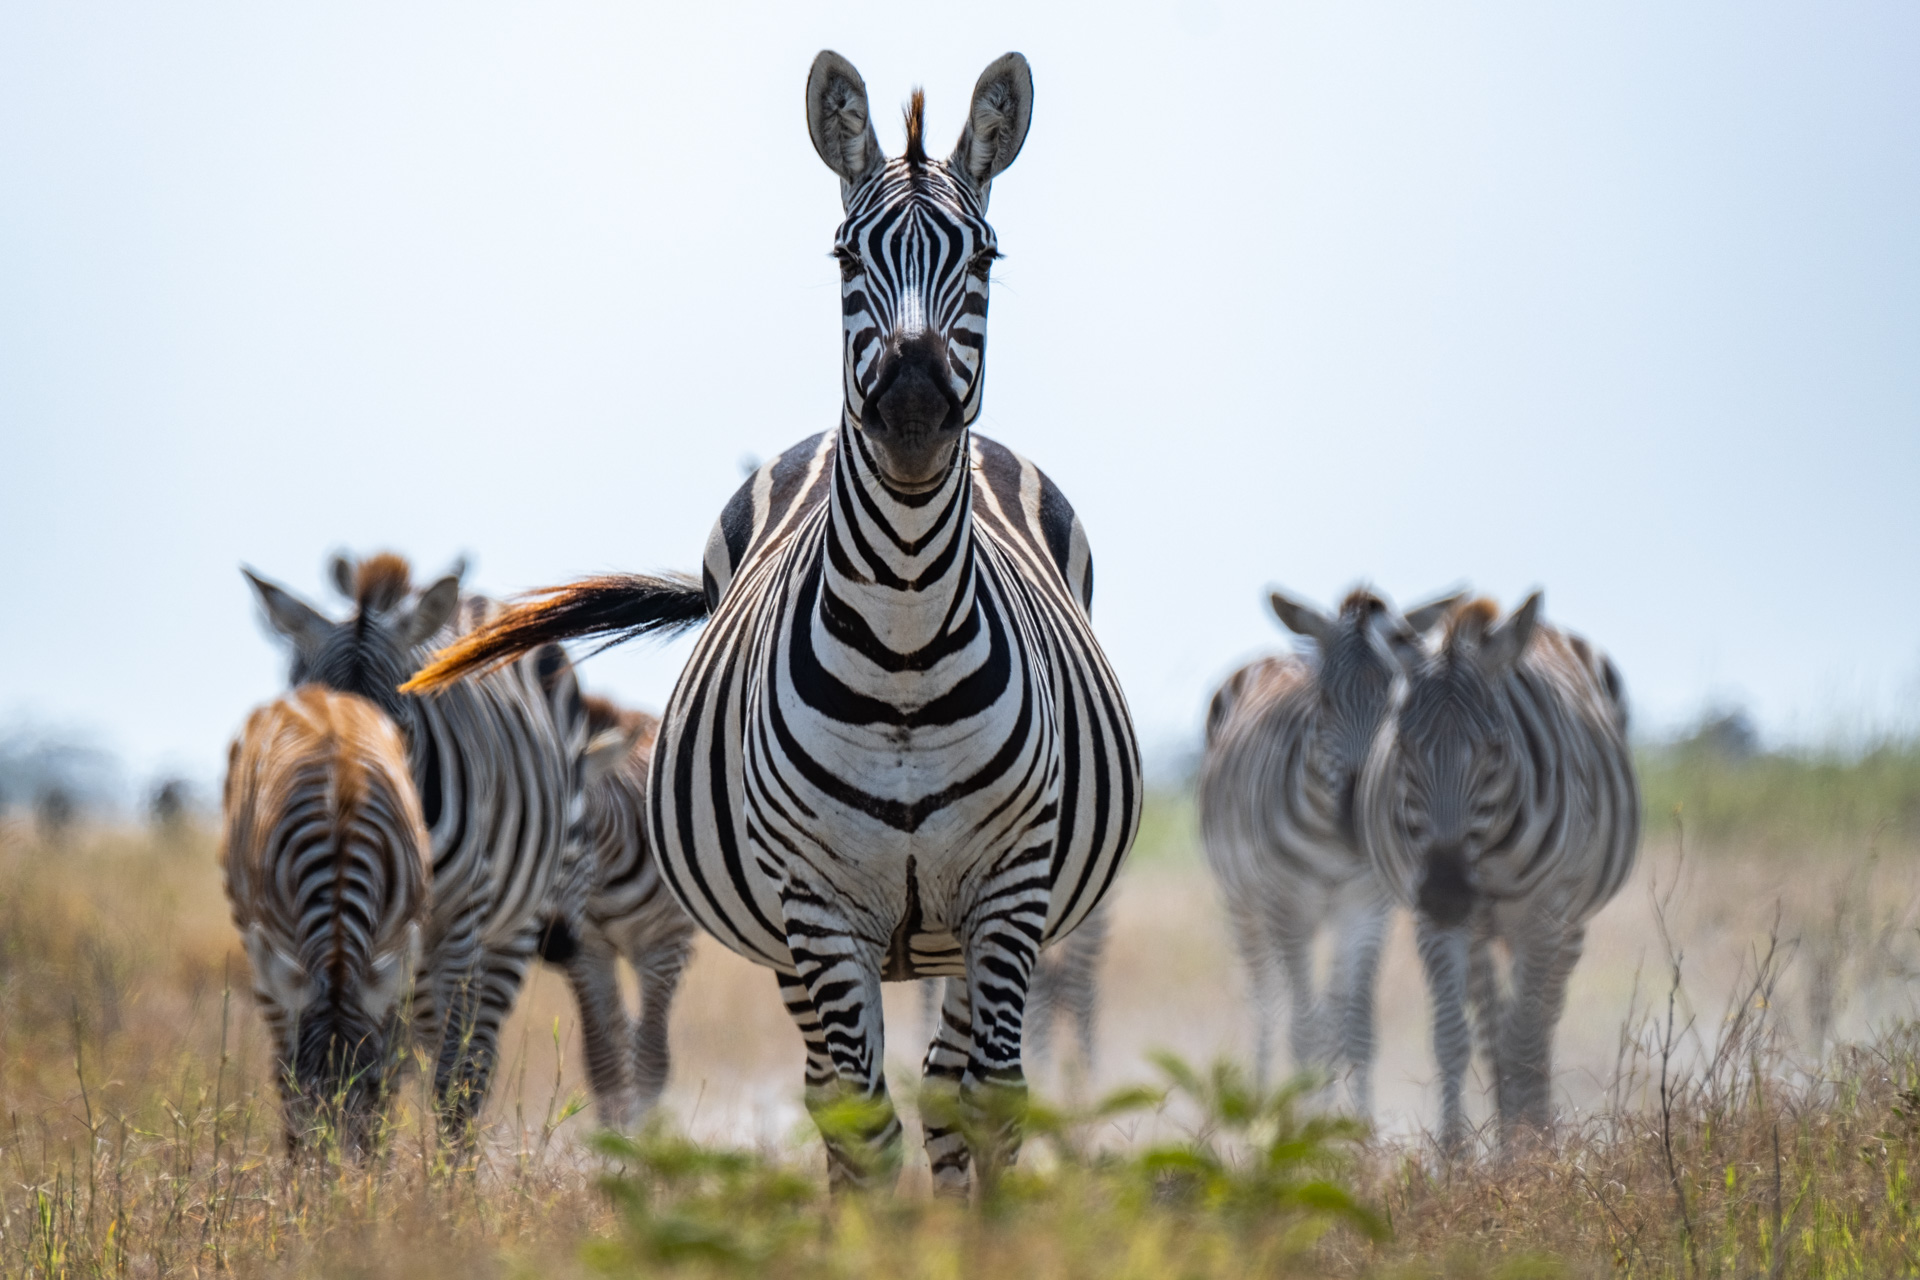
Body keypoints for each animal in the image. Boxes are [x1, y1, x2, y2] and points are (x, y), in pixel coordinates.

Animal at [220, 684, 430, 1151]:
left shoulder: (395, 957)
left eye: (369, 1083)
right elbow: (283, 1071)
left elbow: (392, 1067)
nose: (335, 1168)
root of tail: (320, 694)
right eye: (306, 1088)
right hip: (258, 948)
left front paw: (377, 1163)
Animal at [244, 552, 593, 1135]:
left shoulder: (459, 921)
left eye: (398, 731)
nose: (338, 813)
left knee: (474, 1061)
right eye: (308, 725)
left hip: (513, 926)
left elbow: (451, 1071)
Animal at [544, 695, 697, 1128]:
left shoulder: (664, 946)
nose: (550, 944)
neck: (603, 883)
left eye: (578, 835)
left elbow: (652, 1061)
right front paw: (613, 1135)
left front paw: (644, 1137)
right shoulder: (588, 952)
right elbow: (603, 1061)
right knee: (618, 1028)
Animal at [1199, 586, 1462, 1113]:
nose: (1357, 821)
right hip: (1244, 903)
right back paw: (1259, 1103)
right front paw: (1299, 1128)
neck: (1334, 846)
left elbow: (1354, 1031)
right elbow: (1303, 1031)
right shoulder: (1288, 905)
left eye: (1396, 701)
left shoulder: (1368, 909)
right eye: (1323, 699)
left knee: (1328, 1016)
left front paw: (1356, 1128)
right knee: (1267, 1003)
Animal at [1357, 593, 1638, 1151]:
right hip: (1482, 931)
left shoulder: (1543, 915)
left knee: (1540, 1023)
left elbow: (1525, 1041)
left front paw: (1530, 1154)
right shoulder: (1433, 921)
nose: (1446, 893)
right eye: (1402, 748)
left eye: (1494, 748)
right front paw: (1455, 1157)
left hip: (1568, 922)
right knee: (1492, 1030)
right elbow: (1452, 1038)